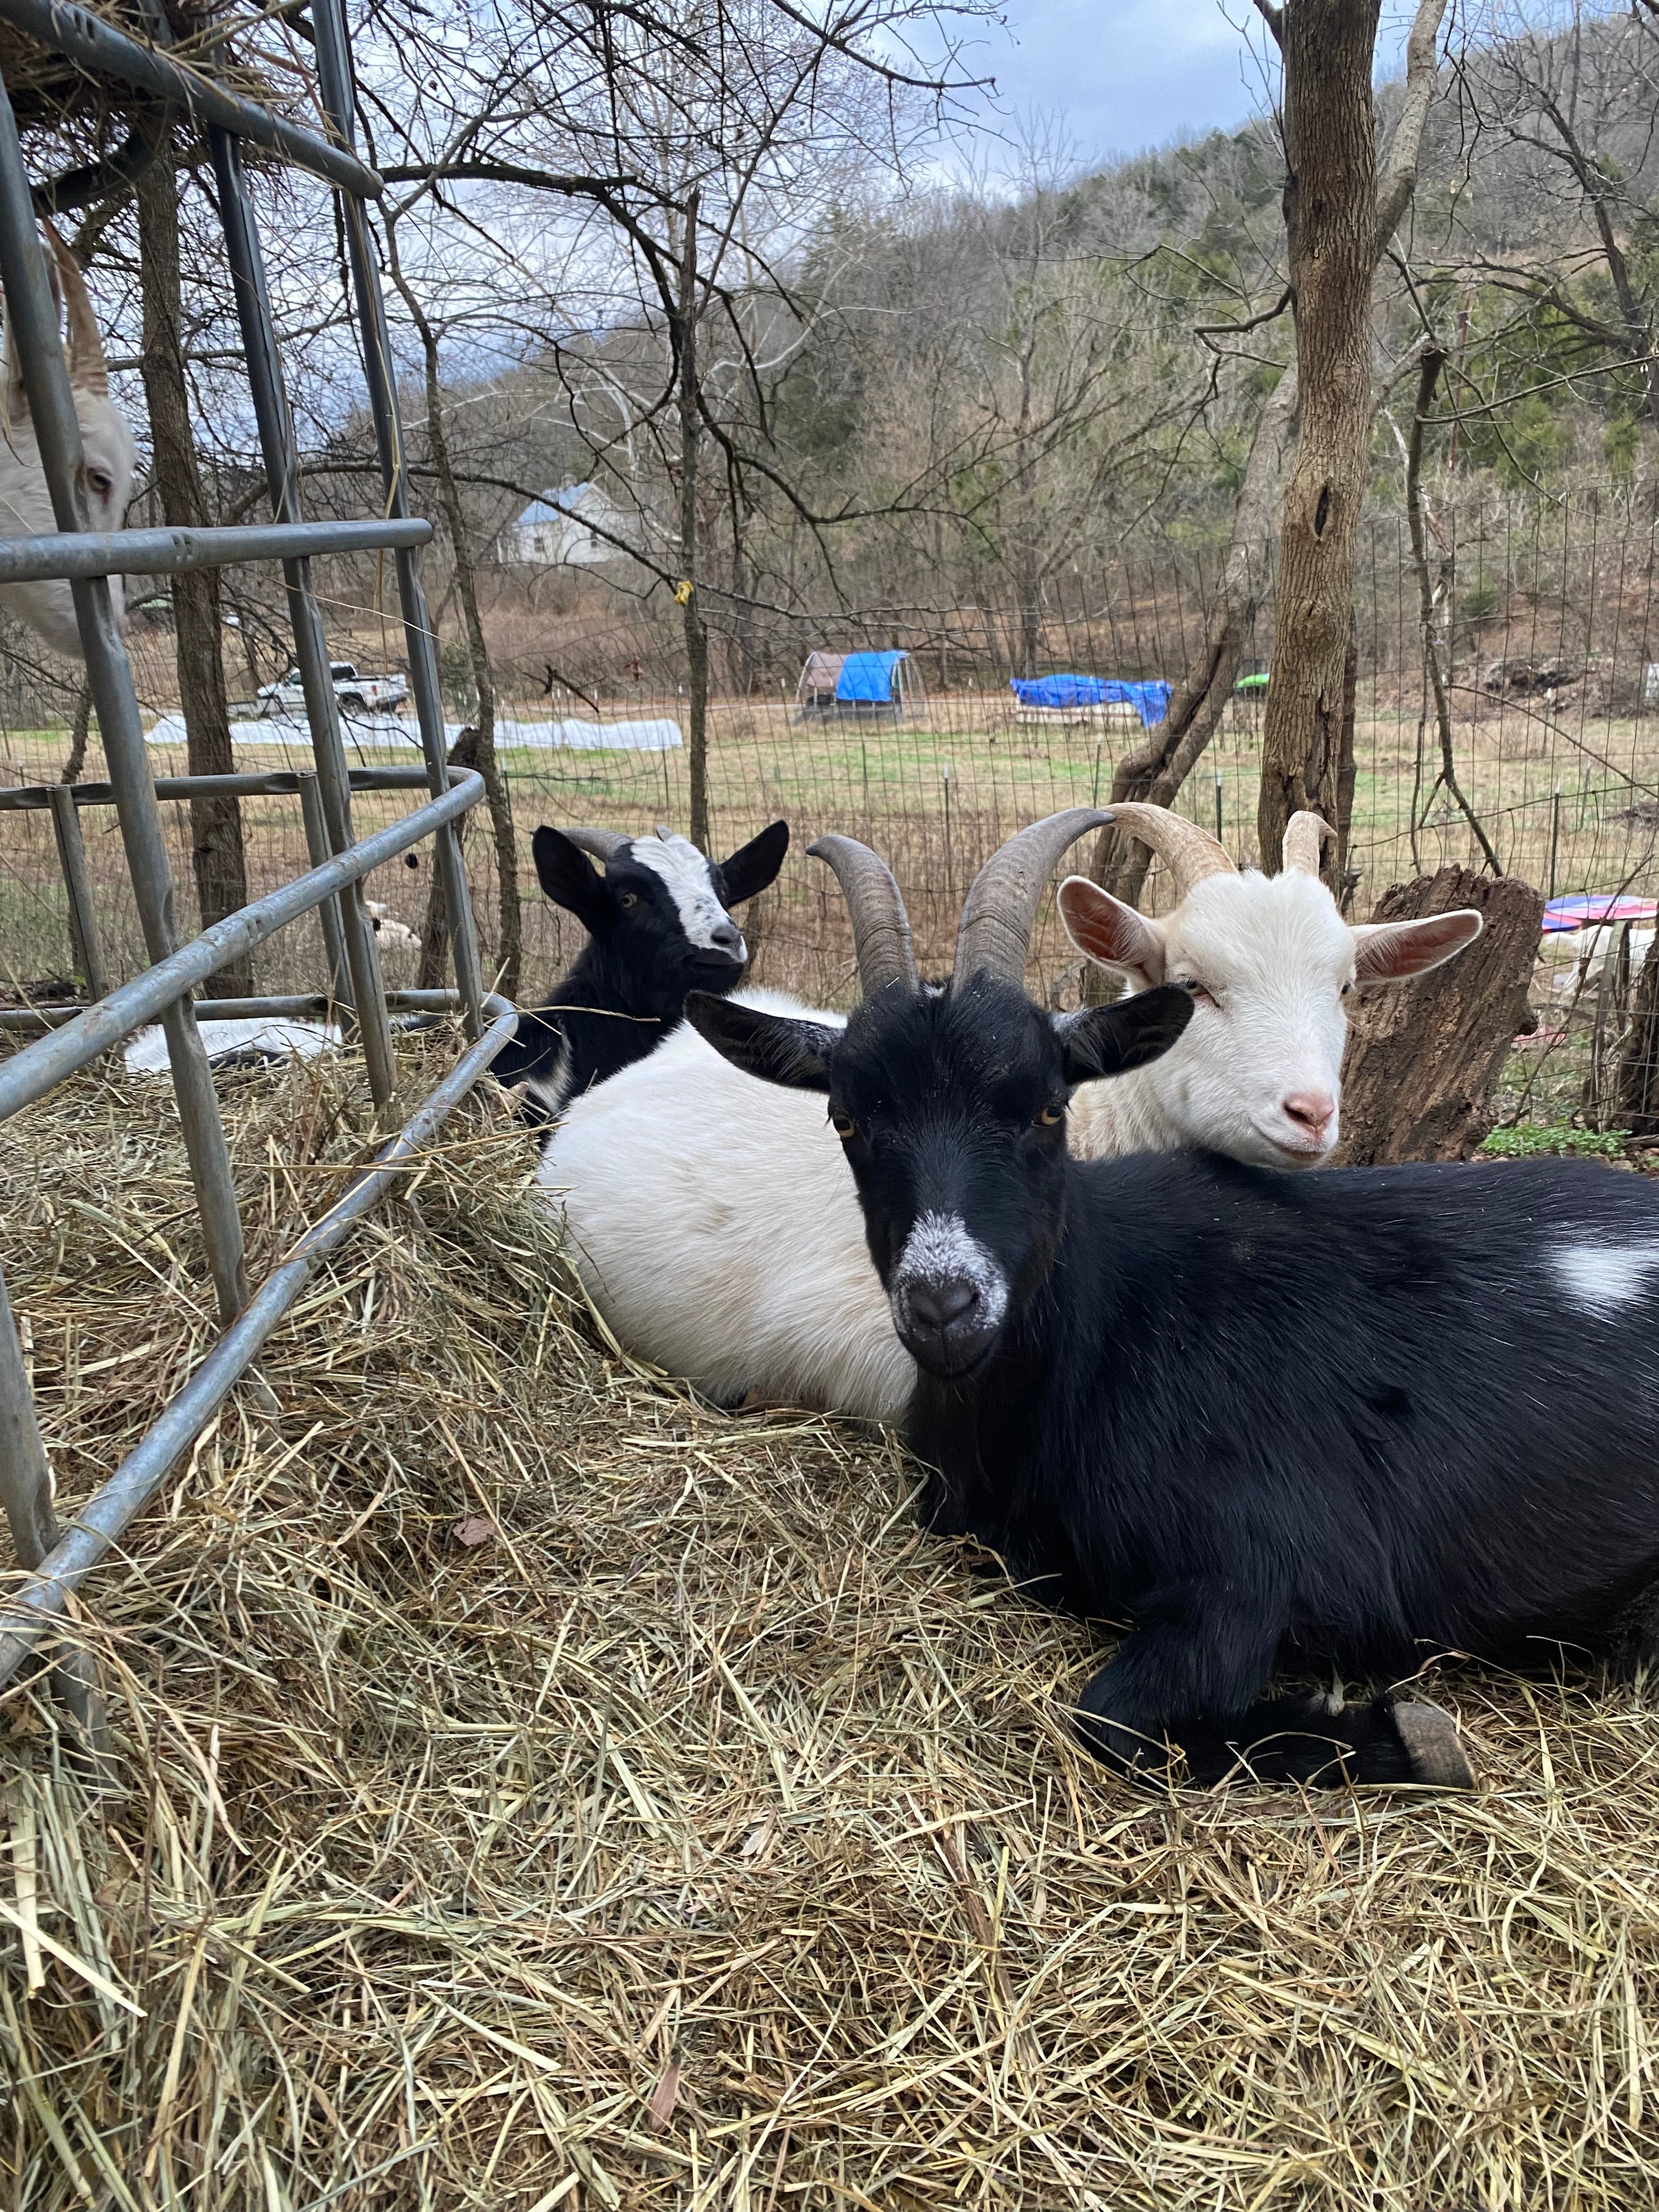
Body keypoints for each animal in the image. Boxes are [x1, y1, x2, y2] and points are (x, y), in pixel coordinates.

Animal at [685, 807, 1659, 1792]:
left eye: (1047, 1107)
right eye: (845, 1117)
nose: (943, 1306)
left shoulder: (1256, 1560)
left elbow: (1110, 1718)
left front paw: (1410, 1732)